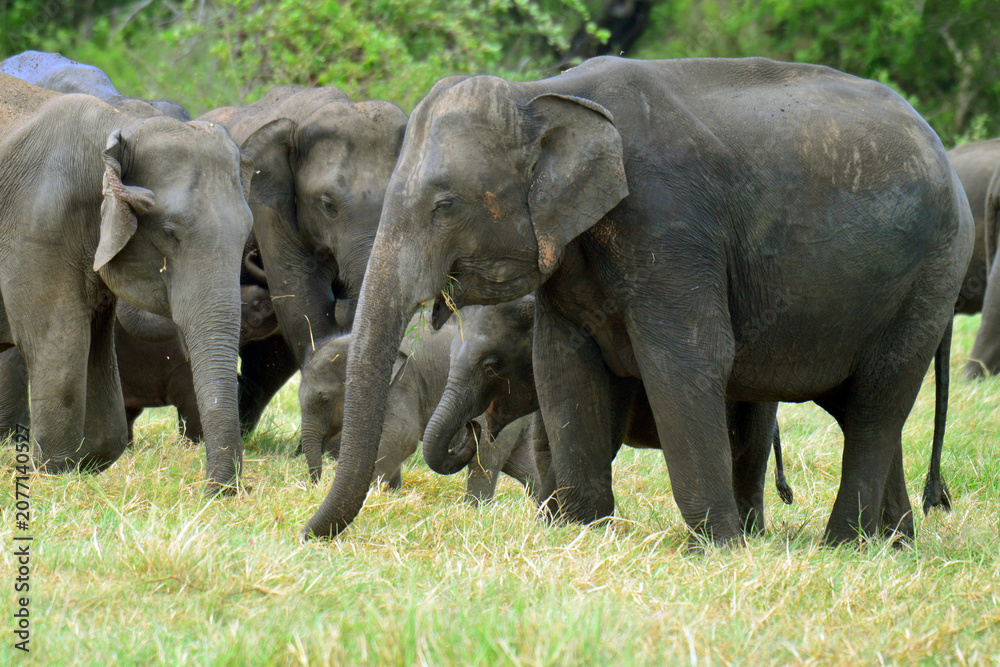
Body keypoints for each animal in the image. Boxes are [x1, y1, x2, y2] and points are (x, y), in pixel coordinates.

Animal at [0, 74, 253, 490]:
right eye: (169, 233)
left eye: (247, 234)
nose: (214, 493)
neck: (118, 127)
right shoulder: (34, 227)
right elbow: (58, 343)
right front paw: (53, 475)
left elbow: (97, 352)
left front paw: (85, 463)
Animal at [299, 314, 537, 500]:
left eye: (324, 399)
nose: (315, 487)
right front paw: (392, 494)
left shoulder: (403, 381)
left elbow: (401, 437)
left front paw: (373, 495)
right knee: (523, 467)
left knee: (484, 461)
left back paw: (473, 511)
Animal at [421, 296, 792, 531]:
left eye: (491, 365)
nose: (472, 426)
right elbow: (549, 444)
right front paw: (549, 527)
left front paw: (557, 527)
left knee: (750, 450)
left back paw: (752, 534)